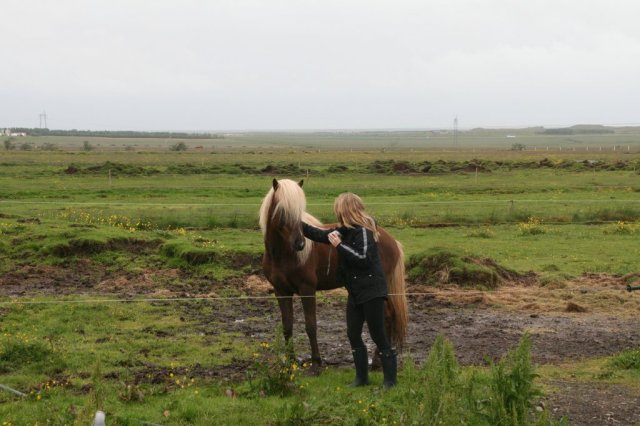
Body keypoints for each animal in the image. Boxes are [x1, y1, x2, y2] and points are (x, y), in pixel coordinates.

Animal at [258, 177, 408, 372]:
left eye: (300, 210)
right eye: (282, 210)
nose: (300, 244)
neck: (282, 255)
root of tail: (391, 240)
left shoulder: (307, 290)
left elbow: (311, 326)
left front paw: (316, 363)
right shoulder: (281, 291)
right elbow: (287, 326)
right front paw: (290, 361)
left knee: (386, 319)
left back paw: (376, 362)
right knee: (387, 318)